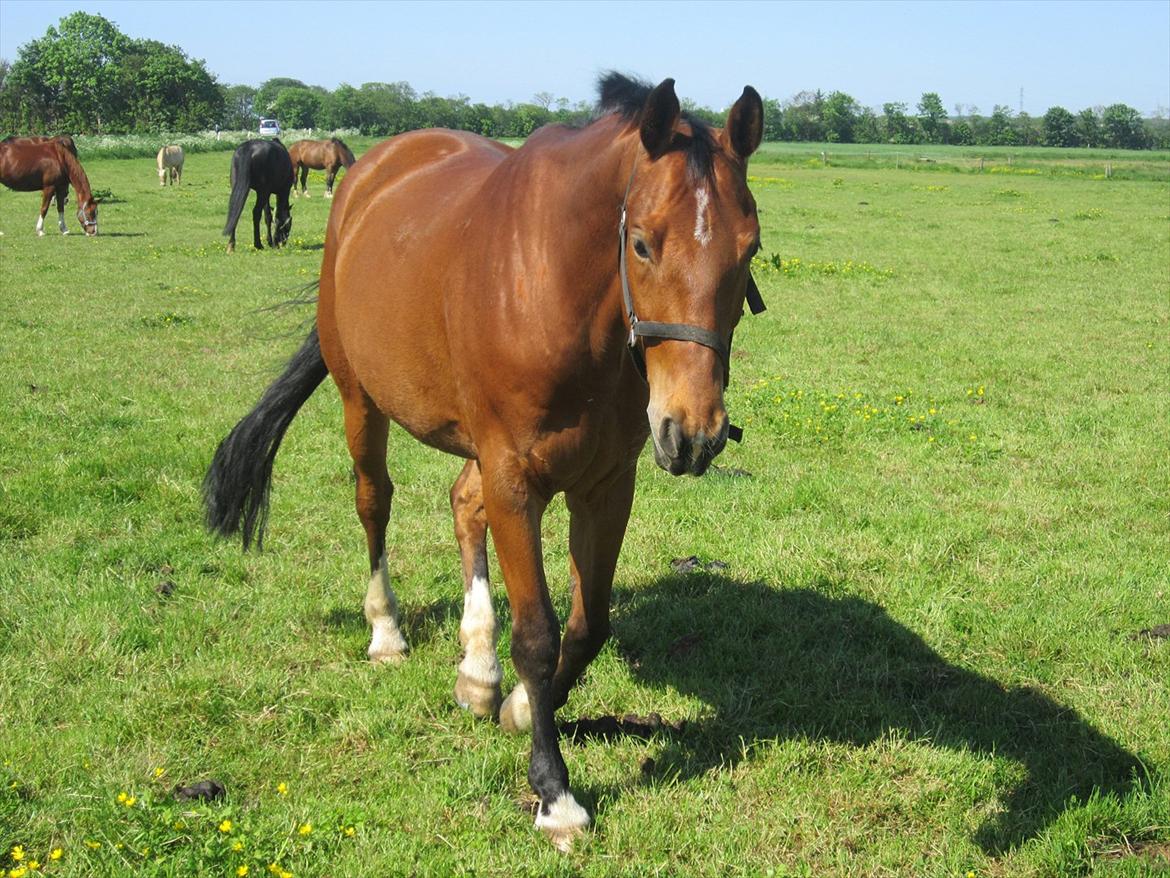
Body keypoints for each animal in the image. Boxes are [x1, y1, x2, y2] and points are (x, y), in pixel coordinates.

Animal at [205, 77, 762, 852]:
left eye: (750, 249)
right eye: (643, 243)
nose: (694, 433)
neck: (559, 294)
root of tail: (370, 176)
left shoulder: (604, 484)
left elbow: (588, 625)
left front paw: (522, 706)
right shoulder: (513, 479)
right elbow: (537, 634)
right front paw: (555, 794)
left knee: (460, 505)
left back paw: (476, 667)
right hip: (360, 401)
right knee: (374, 501)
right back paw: (386, 630)